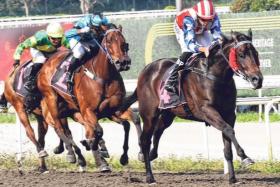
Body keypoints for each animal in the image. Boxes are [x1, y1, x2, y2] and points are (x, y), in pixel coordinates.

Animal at [36, 25, 142, 167]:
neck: (105, 77)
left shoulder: (114, 109)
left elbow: (133, 120)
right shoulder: (89, 111)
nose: (123, 62)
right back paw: (71, 154)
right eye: (109, 42)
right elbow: (98, 131)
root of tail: (46, 63)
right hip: (51, 99)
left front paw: (129, 156)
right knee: (59, 127)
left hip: (72, 109)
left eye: (124, 42)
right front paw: (100, 158)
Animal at [119, 29, 264, 184]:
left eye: (256, 53)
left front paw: (232, 178)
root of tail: (145, 70)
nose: (258, 79)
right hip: (149, 114)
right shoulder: (206, 110)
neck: (213, 75)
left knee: (158, 131)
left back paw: (151, 155)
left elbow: (227, 145)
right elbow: (228, 130)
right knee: (145, 140)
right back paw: (149, 176)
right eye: (241, 54)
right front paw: (245, 157)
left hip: (168, 113)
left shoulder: (229, 114)